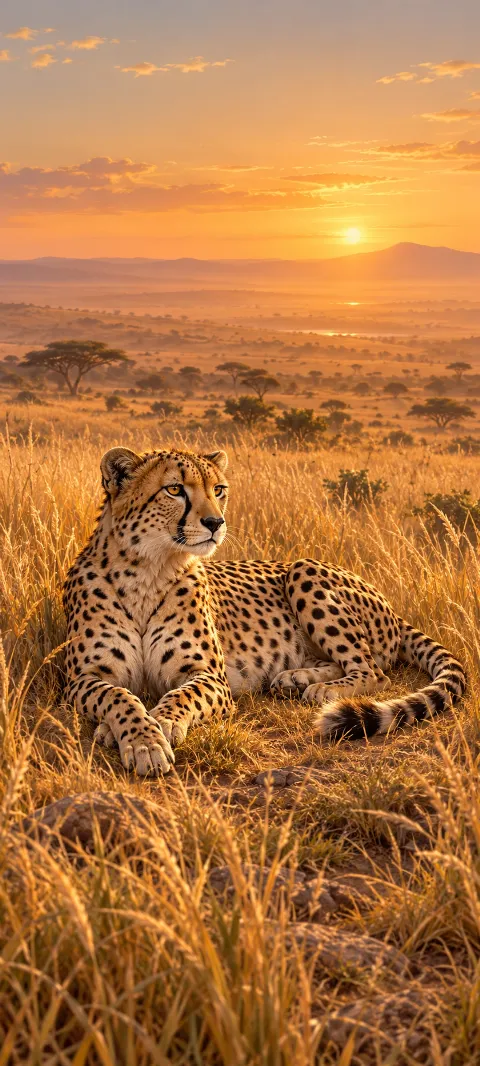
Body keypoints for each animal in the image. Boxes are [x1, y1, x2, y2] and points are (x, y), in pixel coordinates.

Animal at [63, 445, 466, 776]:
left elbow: (179, 695)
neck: (149, 570)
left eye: (218, 490)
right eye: (174, 489)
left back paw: (322, 690)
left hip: (303, 569)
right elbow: (119, 696)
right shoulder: (81, 678)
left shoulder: (211, 676)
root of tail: (393, 610)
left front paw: (158, 726)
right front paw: (139, 738)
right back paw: (296, 678)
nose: (215, 523)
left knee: (374, 672)